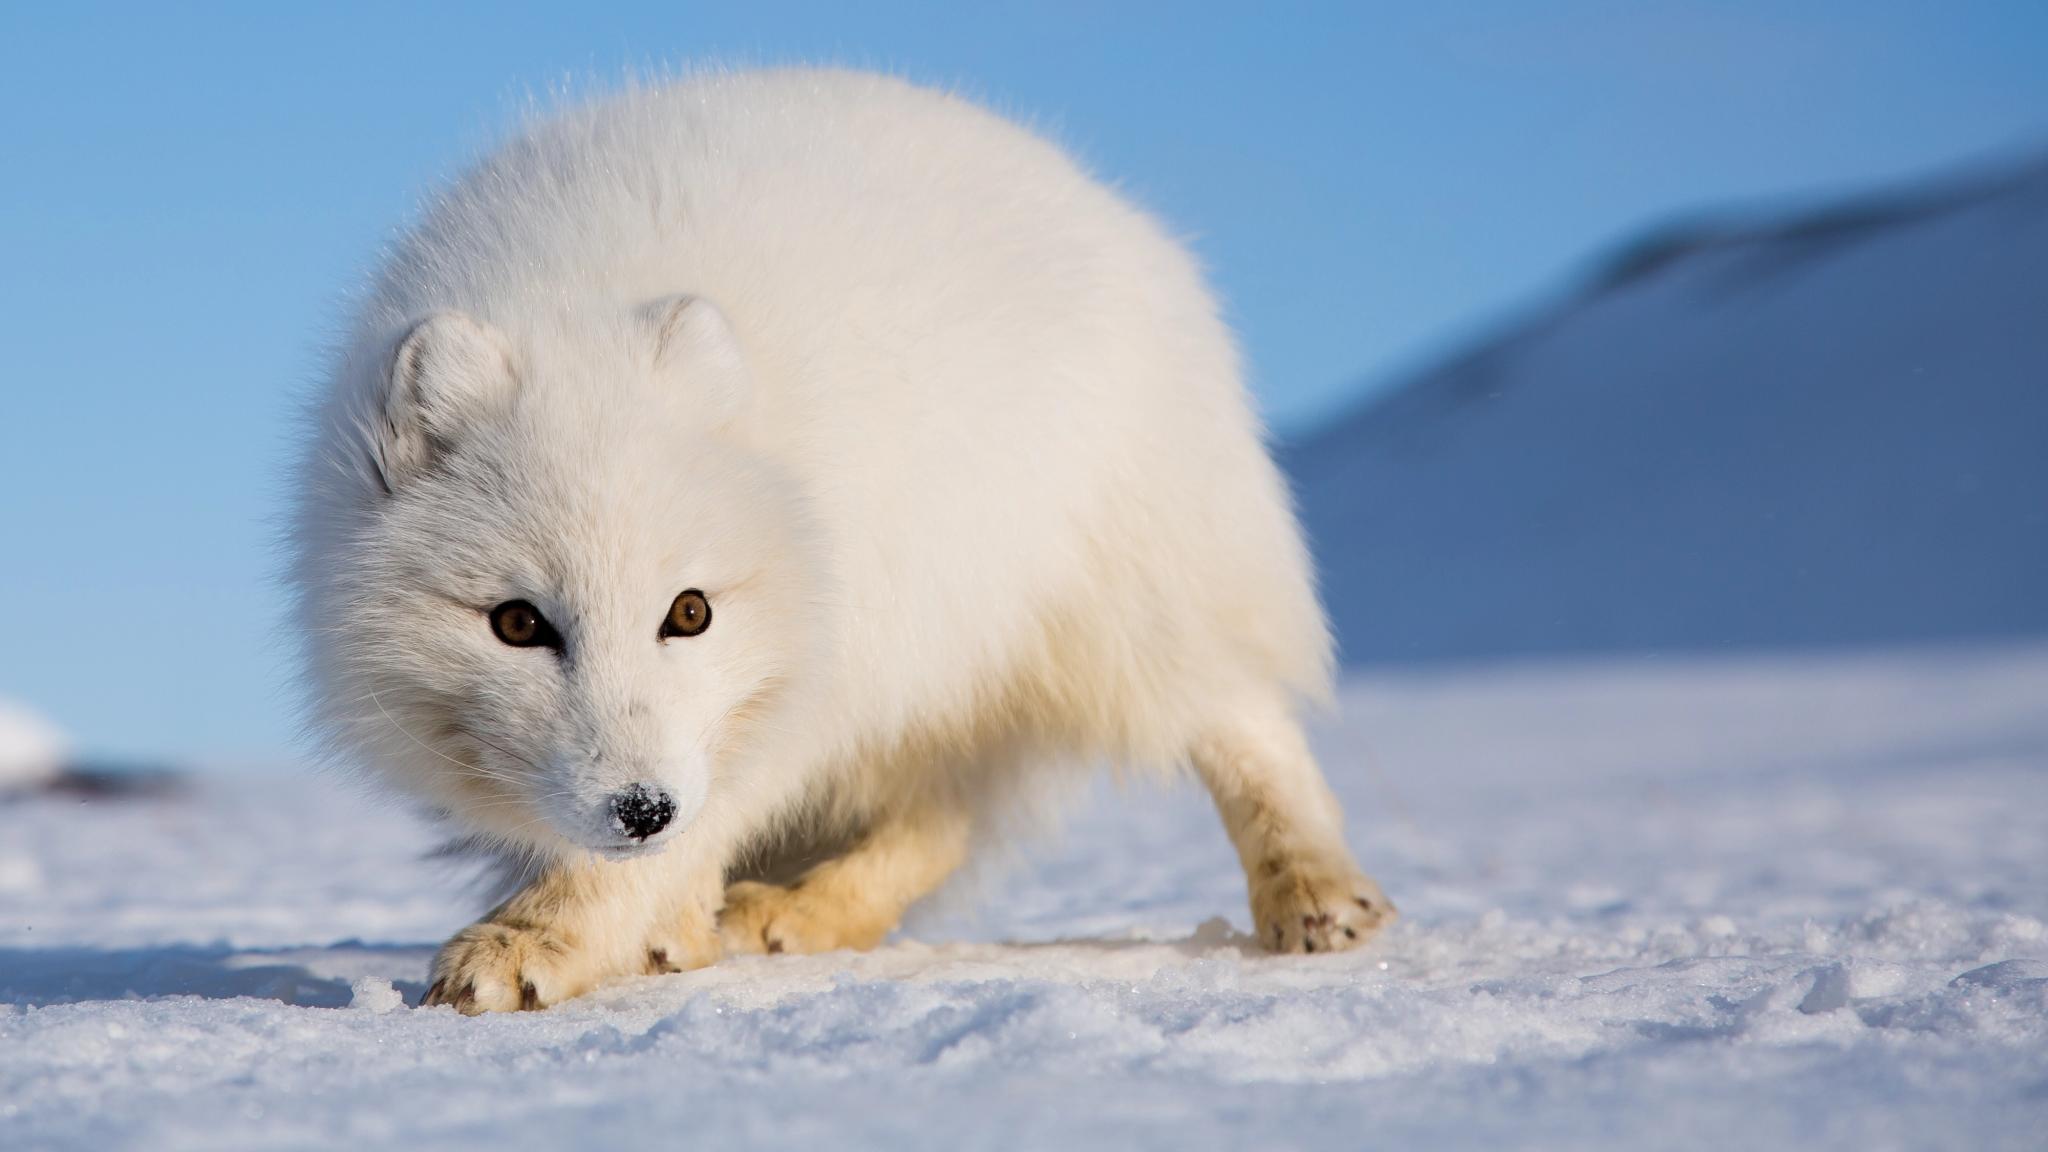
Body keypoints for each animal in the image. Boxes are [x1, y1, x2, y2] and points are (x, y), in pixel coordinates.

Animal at [290, 68, 1392, 1013]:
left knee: (1241, 718)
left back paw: (1315, 895)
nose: (641, 807)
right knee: (945, 813)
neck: (572, 303)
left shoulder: (796, 689)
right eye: (517, 625)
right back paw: (793, 913)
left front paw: (535, 942)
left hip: (1116, 593)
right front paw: (653, 933)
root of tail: (1102, 200)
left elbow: (681, 834)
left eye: (688, 612)